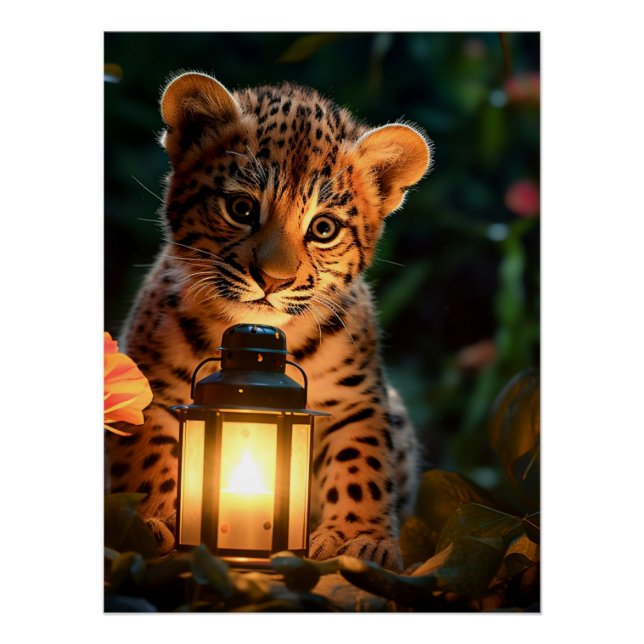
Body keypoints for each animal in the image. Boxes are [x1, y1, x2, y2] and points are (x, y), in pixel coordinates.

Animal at [105, 71, 432, 571]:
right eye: (241, 209)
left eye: (323, 229)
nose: (273, 280)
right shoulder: (150, 390)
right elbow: (149, 455)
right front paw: (155, 521)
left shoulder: (355, 398)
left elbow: (361, 462)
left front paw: (359, 539)